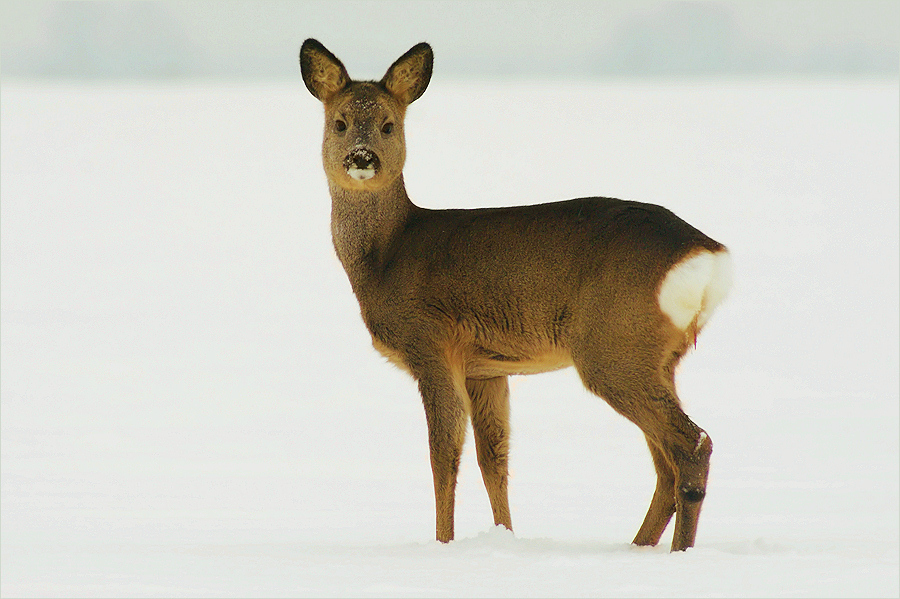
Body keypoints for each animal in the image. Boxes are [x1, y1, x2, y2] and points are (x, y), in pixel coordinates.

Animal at [302, 38, 732, 552]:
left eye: (389, 124)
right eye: (339, 122)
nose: (362, 157)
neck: (385, 258)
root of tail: (708, 253)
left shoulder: (430, 340)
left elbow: (443, 451)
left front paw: (443, 545)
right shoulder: (485, 366)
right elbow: (494, 457)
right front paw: (504, 537)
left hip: (612, 343)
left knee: (691, 444)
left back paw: (677, 551)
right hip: (659, 355)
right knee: (665, 462)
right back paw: (638, 547)